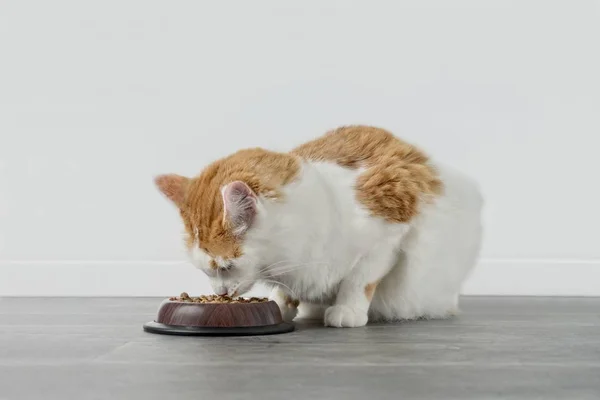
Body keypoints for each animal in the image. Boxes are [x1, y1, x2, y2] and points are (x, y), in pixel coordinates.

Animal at [155, 126, 482, 326]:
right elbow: (287, 290)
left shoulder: (388, 235)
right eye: (204, 270)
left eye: (226, 267)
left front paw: (348, 311)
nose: (221, 294)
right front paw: (281, 306)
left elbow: (359, 280)